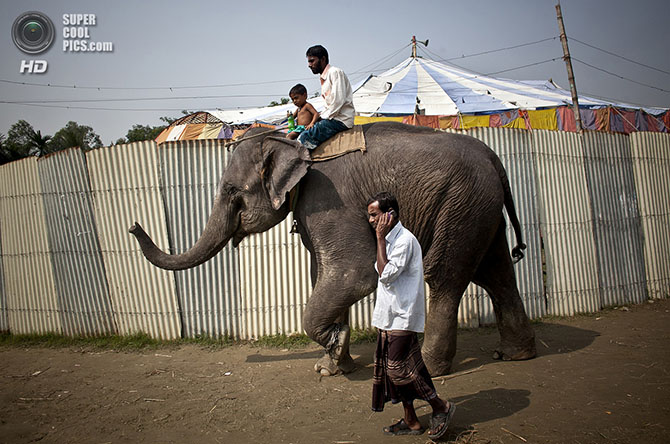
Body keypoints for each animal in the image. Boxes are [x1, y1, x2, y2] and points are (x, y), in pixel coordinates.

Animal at [131, 122, 540, 378]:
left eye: (232, 192)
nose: (133, 225)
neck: (293, 144)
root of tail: (496, 160)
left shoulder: (329, 200)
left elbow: (353, 274)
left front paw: (335, 347)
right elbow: (325, 275)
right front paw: (332, 366)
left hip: (460, 205)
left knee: (444, 277)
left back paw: (431, 369)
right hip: (478, 208)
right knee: (496, 272)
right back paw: (516, 354)